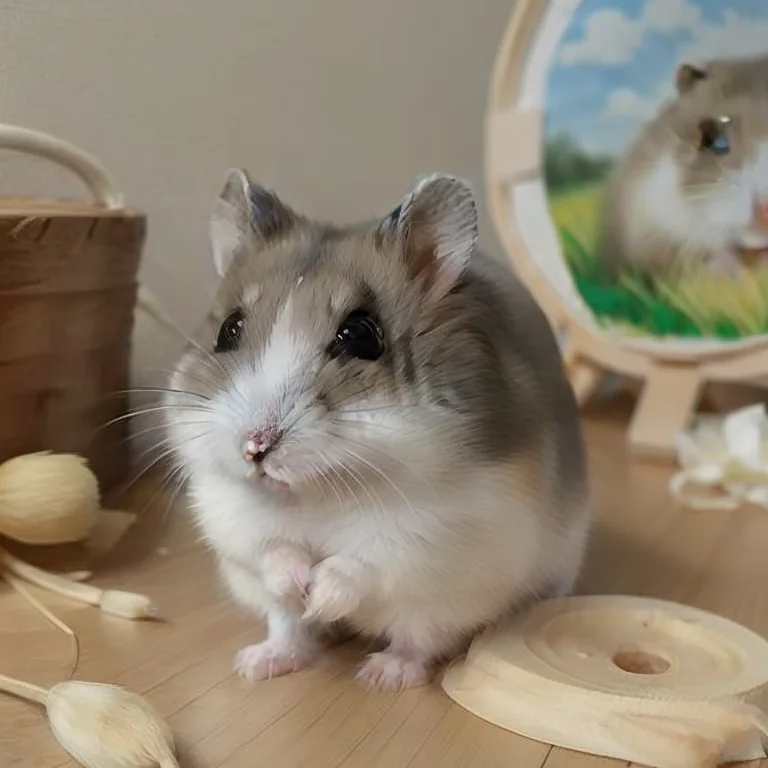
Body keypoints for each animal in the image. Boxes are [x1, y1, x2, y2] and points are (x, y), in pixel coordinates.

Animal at [165, 170, 590, 691]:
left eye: (362, 336)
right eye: (228, 329)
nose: (254, 448)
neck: (316, 493)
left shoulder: (432, 535)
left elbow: (361, 564)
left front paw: (320, 595)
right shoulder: (232, 519)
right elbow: (273, 554)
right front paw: (301, 588)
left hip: (447, 605)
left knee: (418, 642)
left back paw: (381, 675)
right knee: (287, 627)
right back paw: (259, 663)